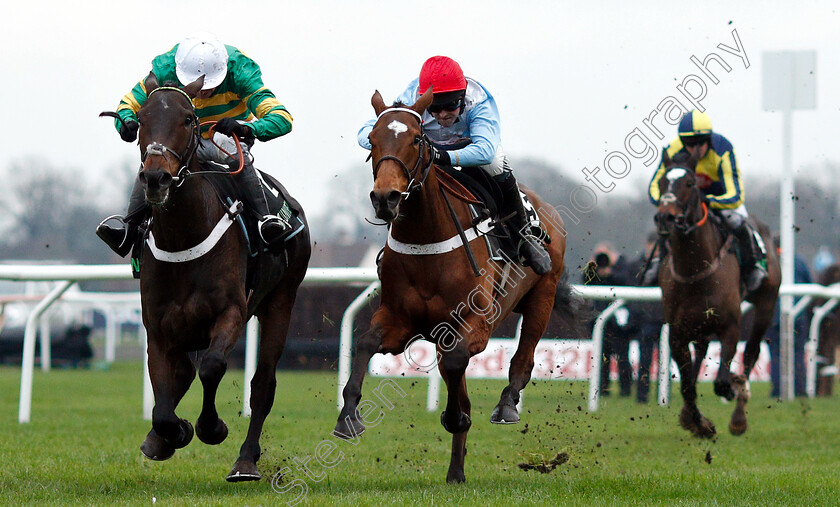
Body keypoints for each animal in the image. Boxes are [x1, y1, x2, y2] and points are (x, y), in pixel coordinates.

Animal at [133, 71, 310, 480]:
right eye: (142, 119)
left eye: (187, 119)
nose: (156, 178)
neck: (184, 237)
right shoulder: (158, 327)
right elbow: (163, 402)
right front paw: (169, 434)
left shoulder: (231, 312)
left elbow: (212, 367)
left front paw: (210, 428)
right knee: (183, 373)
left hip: (282, 299)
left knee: (263, 384)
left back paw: (246, 460)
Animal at [334, 90, 584, 484]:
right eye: (372, 139)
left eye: (416, 139)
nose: (386, 198)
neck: (426, 240)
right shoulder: (400, 320)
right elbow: (366, 341)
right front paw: (348, 416)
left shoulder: (475, 324)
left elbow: (456, 367)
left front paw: (456, 417)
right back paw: (455, 471)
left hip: (542, 294)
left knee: (524, 356)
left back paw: (506, 404)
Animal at [656, 150, 780, 436]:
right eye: (662, 182)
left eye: (689, 183)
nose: (665, 217)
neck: (695, 271)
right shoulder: (677, 333)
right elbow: (687, 386)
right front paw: (698, 423)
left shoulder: (730, 326)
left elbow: (722, 381)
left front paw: (733, 391)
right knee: (701, 351)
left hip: (766, 303)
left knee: (751, 351)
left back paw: (739, 413)